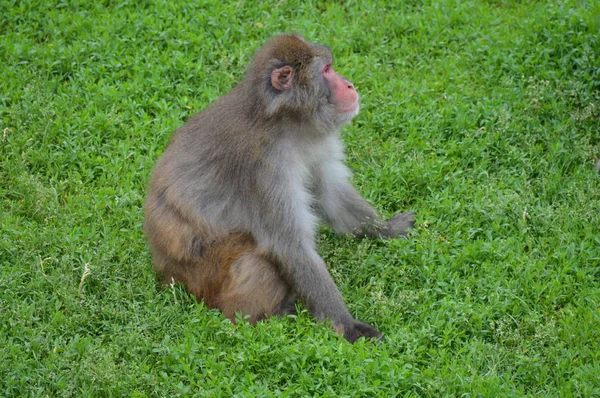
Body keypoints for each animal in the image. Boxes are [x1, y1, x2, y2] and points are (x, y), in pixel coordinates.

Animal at [145, 34, 414, 342]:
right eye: (327, 70)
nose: (349, 85)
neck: (285, 123)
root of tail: (163, 268)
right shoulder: (262, 167)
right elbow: (289, 245)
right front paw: (346, 324)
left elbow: (331, 196)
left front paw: (388, 229)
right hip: (199, 274)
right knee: (254, 262)